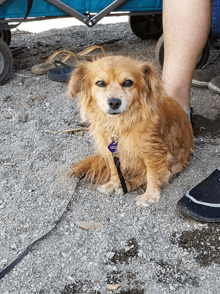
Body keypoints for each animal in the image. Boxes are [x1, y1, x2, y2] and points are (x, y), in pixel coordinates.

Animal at [68, 55, 193, 207]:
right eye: (100, 83)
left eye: (128, 83)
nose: (114, 102)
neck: (120, 123)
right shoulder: (110, 149)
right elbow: (114, 168)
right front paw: (113, 183)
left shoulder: (153, 152)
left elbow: (152, 174)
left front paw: (150, 195)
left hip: (175, 163)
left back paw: (128, 184)